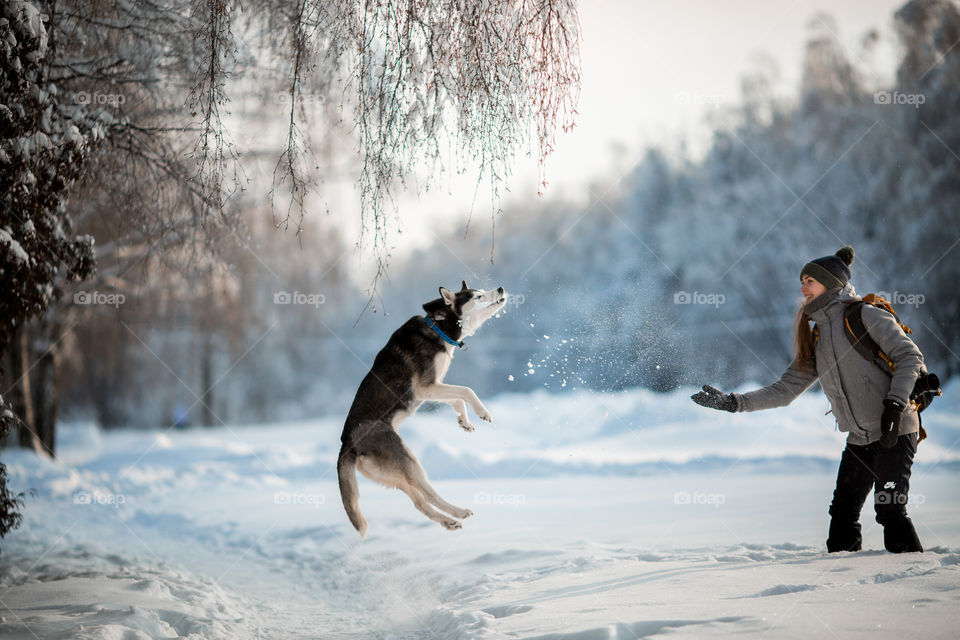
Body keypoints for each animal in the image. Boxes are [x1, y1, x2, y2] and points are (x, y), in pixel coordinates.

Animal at [338, 280, 506, 536]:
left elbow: (457, 398)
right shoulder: (426, 388)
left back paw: (449, 521)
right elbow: (466, 391)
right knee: (428, 493)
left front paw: (464, 422)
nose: (500, 289)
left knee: (419, 501)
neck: (439, 327)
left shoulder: (435, 387)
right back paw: (457, 512)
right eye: (477, 296)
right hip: (407, 460)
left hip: (394, 475)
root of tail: (346, 444)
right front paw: (482, 412)